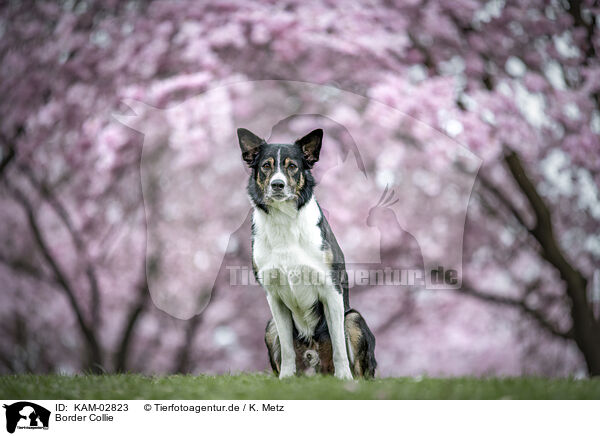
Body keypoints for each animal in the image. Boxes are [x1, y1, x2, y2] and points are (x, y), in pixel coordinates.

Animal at [238, 127, 376, 378]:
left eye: (292, 166)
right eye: (266, 166)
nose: (278, 184)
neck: (284, 220)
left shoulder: (331, 288)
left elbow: (339, 345)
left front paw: (344, 378)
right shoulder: (273, 294)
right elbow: (287, 349)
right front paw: (286, 378)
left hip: (353, 318)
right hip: (269, 327)